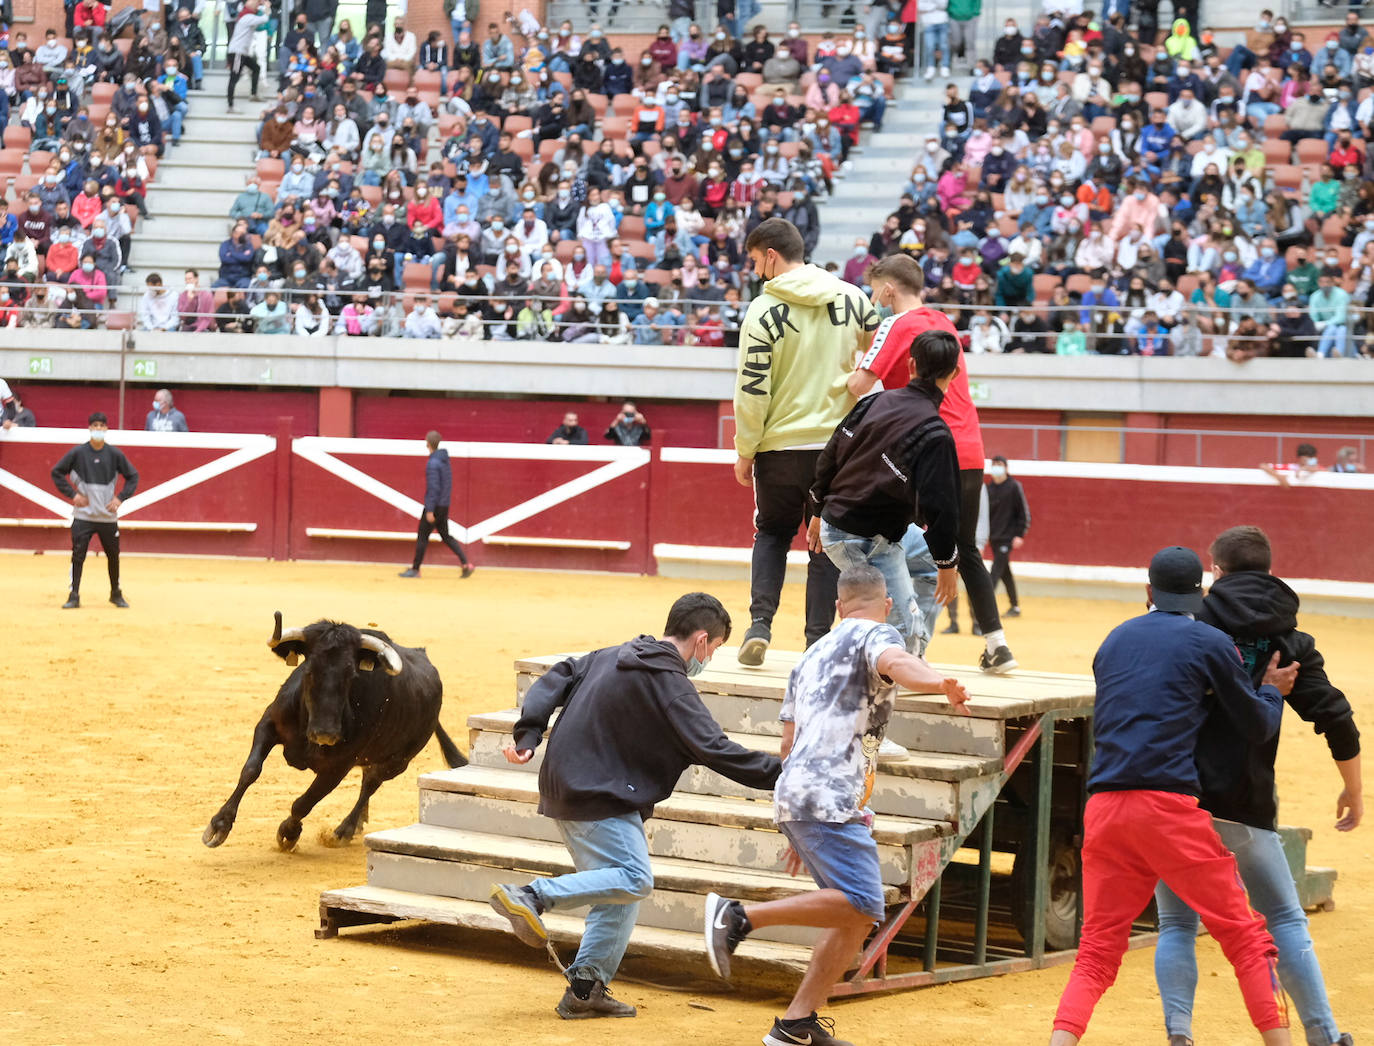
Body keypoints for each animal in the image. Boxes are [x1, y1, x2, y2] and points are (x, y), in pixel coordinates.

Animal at [200, 613, 467, 846]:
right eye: (308, 670)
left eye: (351, 674)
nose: (325, 734)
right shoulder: (268, 725)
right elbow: (250, 770)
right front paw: (219, 825)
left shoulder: (339, 767)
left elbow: (305, 802)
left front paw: (289, 833)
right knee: (367, 779)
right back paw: (358, 823)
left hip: (398, 762)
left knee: (370, 784)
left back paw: (345, 830)